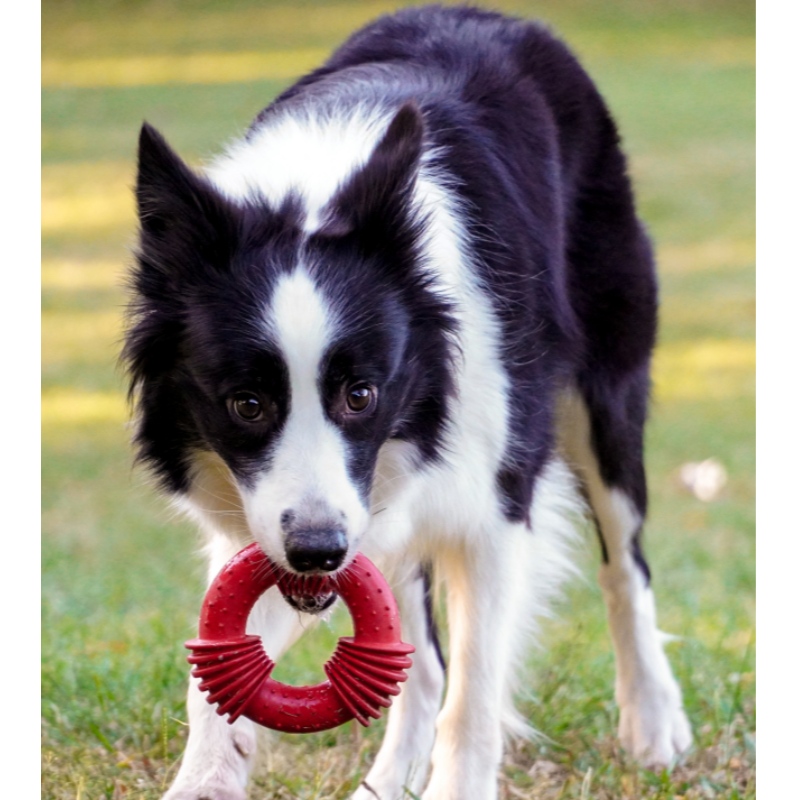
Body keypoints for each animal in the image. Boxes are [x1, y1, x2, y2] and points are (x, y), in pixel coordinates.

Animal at [123, 7, 688, 800]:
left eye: (361, 395)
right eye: (246, 404)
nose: (319, 551)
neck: (309, 201)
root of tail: (501, 18)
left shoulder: (489, 510)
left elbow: (474, 696)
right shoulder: (277, 521)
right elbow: (222, 676)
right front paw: (206, 778)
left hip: (602, 394)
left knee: (625, 564)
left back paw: (653, 721)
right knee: (414, 651)